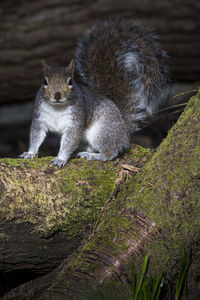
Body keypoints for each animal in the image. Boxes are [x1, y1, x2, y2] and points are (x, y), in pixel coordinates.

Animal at [19, 19, 171, 168]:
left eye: (70, 81)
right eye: (45, 81)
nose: (57, 95)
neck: (57, 107)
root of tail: (124, 131)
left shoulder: (75, 121)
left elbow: (70, 141)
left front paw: (61, 158)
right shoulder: (39, 117)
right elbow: (36, 136)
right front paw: (30, 153)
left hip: (101, 132)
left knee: (110, 153)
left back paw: (93, 156)